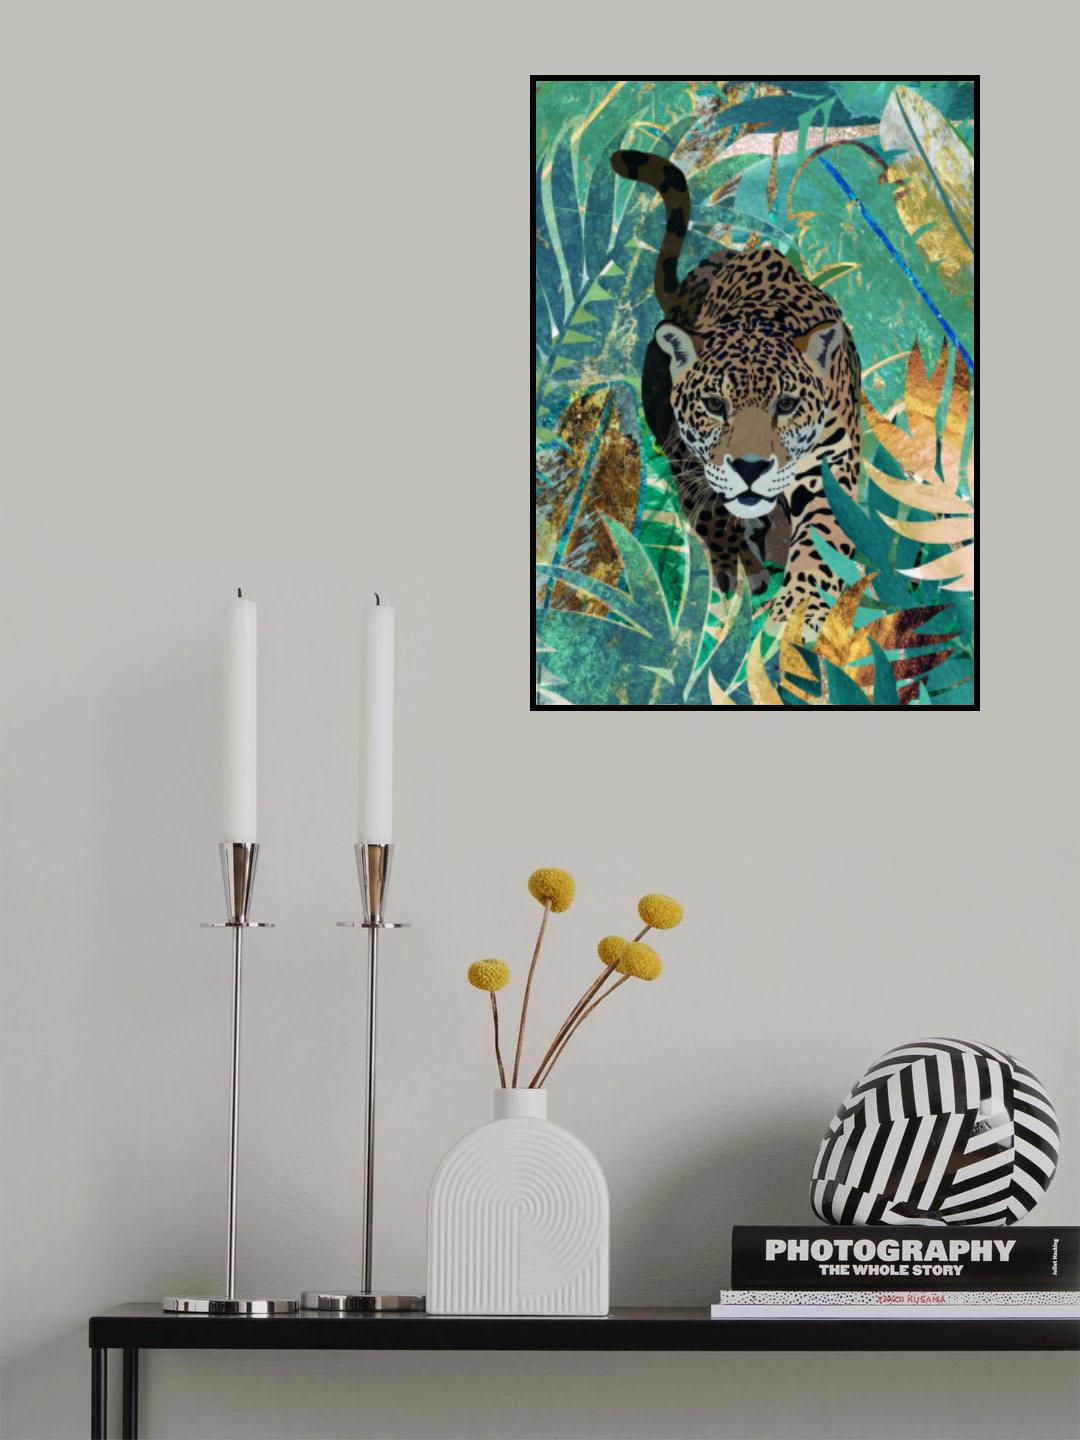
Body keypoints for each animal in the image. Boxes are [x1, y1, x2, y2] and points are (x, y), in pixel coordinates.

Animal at [611, 148, 862, 633]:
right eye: (714, 404)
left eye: (787, 405)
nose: (750, 467)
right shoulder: (691, 453)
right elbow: (712, 505)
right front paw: (739, 565)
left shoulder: (830, 466)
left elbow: (821, 541)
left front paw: (796, 609)